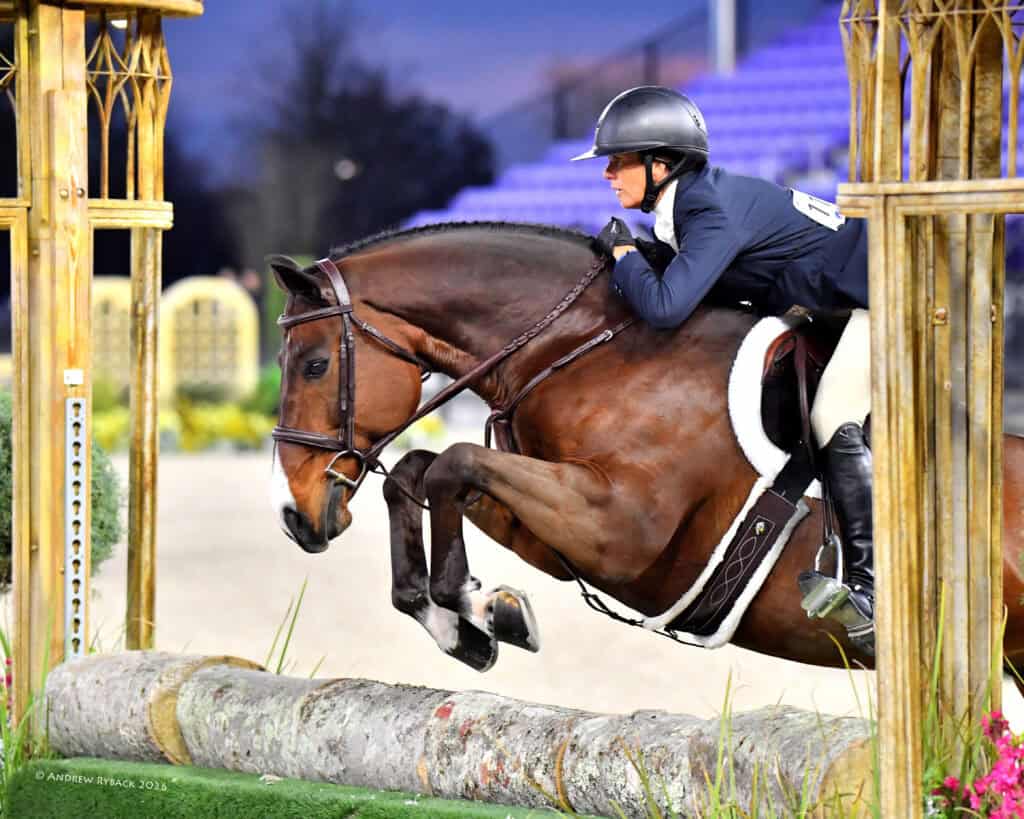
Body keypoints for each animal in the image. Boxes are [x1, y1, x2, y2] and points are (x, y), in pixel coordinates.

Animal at [267, 221, 1024, 677]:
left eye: (313, 365)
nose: (295, 516)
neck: (582, 344)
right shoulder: (566, 530)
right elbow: (420, 473)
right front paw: (469, 622)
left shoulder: (621, 530)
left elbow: (452, 462)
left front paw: (475, 608)